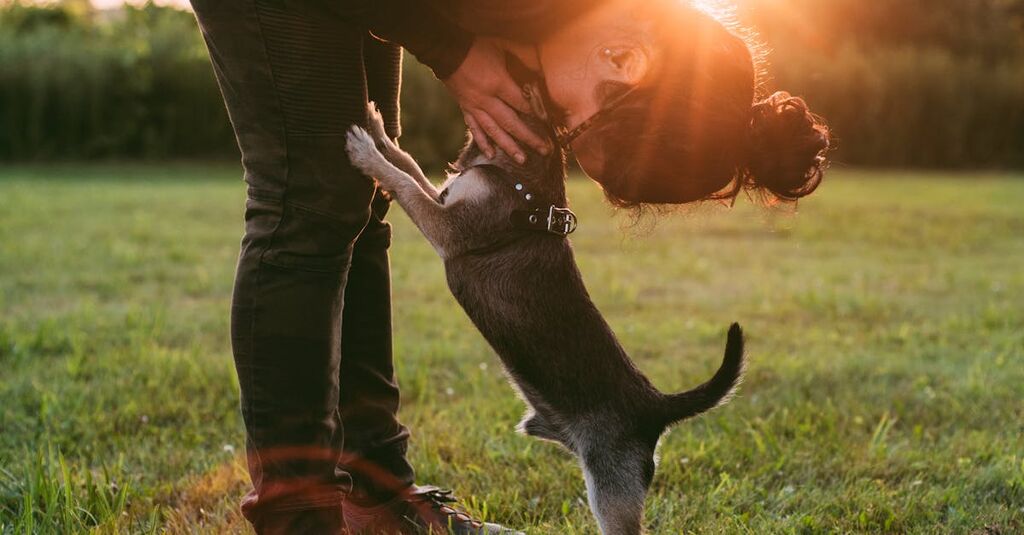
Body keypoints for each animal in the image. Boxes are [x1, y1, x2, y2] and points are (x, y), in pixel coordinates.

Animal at [344, 100, 745, 532]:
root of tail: (655, 405)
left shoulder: (447, 227)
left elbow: (404, 183)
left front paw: (366, 154)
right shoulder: (442, 197)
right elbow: (407, 163)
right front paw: (379, 131)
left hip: (611, 487)